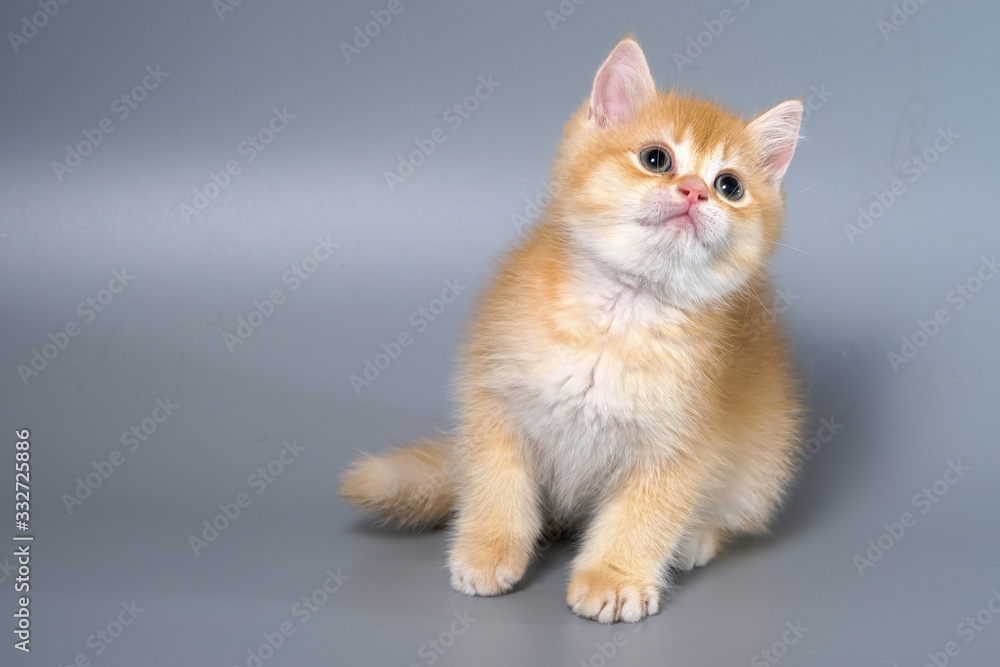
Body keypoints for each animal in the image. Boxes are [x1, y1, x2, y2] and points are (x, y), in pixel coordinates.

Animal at [342, 35, 804, 620]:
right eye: (656, 159)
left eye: (730, 186)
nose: (696, 191)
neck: (618, 317)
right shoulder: (494, 403)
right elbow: (495, 487)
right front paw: (489, 548)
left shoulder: (682, 443)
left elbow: (644, 517)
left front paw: (615, 578)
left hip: (761, 468)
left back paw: (695, 539)